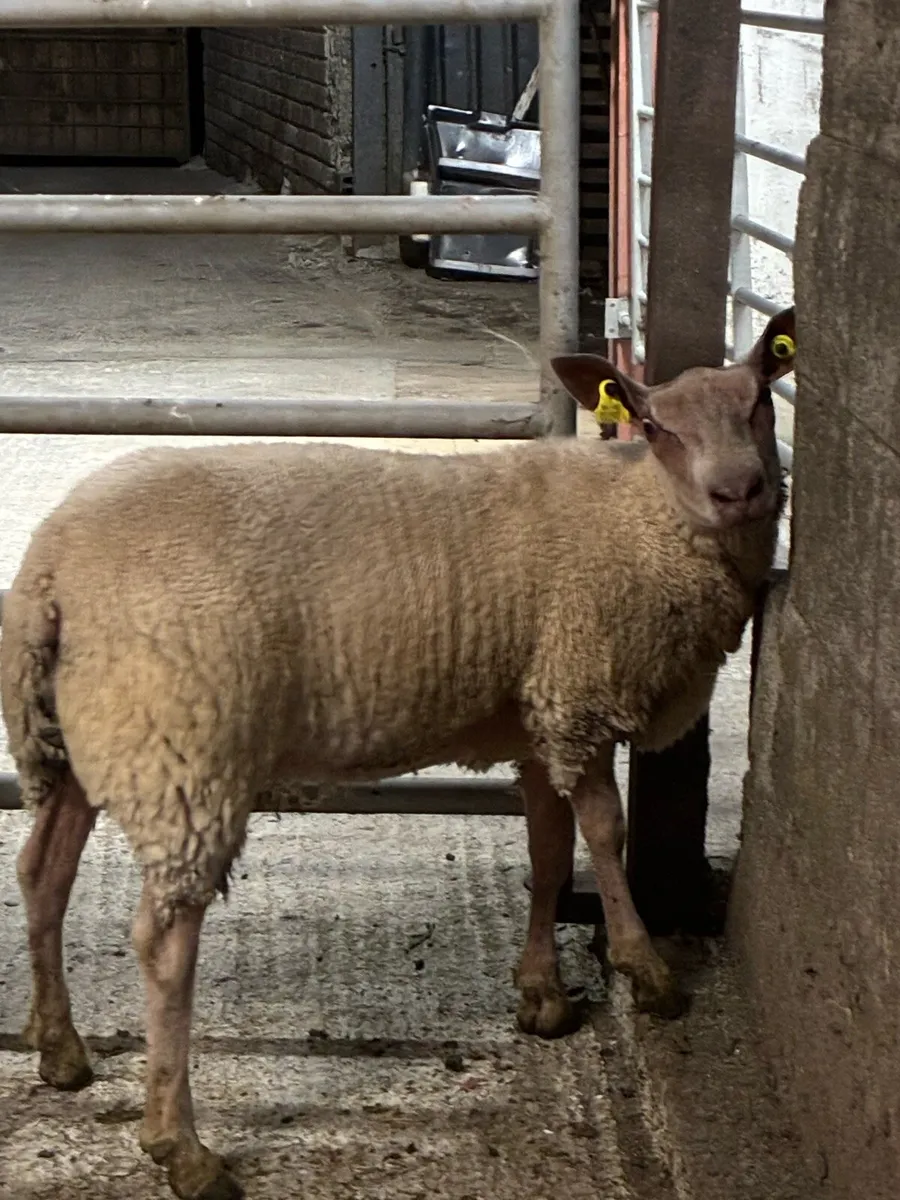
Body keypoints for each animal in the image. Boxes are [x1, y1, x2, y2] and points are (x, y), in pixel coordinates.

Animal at [1, 307, 795, 1200]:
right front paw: (645, 969)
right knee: (161, 941)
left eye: (759, 400)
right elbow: (602, 829)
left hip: (83, 739)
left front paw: (543, 997)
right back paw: (182, 1148)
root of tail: (52, 568)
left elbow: (549, 852)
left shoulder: (533, 711)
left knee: (43, 873)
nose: (740, 491)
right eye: (655, 427)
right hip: (182, 753)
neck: (639, 517)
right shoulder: (577, 694)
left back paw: (61, 1051)